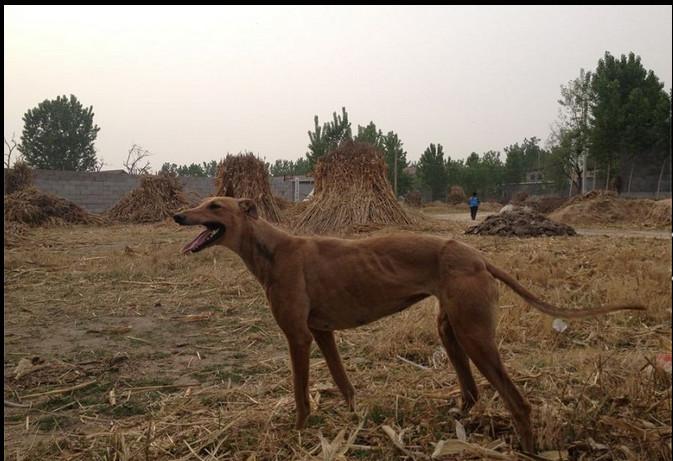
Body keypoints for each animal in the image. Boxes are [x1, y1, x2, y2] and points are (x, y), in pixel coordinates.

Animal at [175, 196, 644, 452]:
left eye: (215, 205)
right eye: (203, 202)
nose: (179, 215)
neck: (271, 248)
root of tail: (478, 256)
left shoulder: (298, 337)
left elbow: (301, 395)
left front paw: (300, 432)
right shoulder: (323, 333)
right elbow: (345, 384)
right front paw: (356, 421)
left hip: (475, 336)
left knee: (518, 402)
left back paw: (526, 448)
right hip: (451, 331)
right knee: (472, 391)